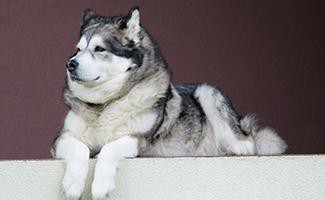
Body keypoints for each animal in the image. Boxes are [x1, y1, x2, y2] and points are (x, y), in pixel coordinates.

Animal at [51, 7, 286, 200]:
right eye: (78, 50)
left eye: (100, 49)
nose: (70, 64)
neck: (106, 104)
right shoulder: (61, 140)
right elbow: (80, 148)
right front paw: (73, 183)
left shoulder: (138, 139)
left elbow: (110, 148)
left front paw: (100, 185)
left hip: (207, 91)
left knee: (249, 141)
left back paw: (237, 147)